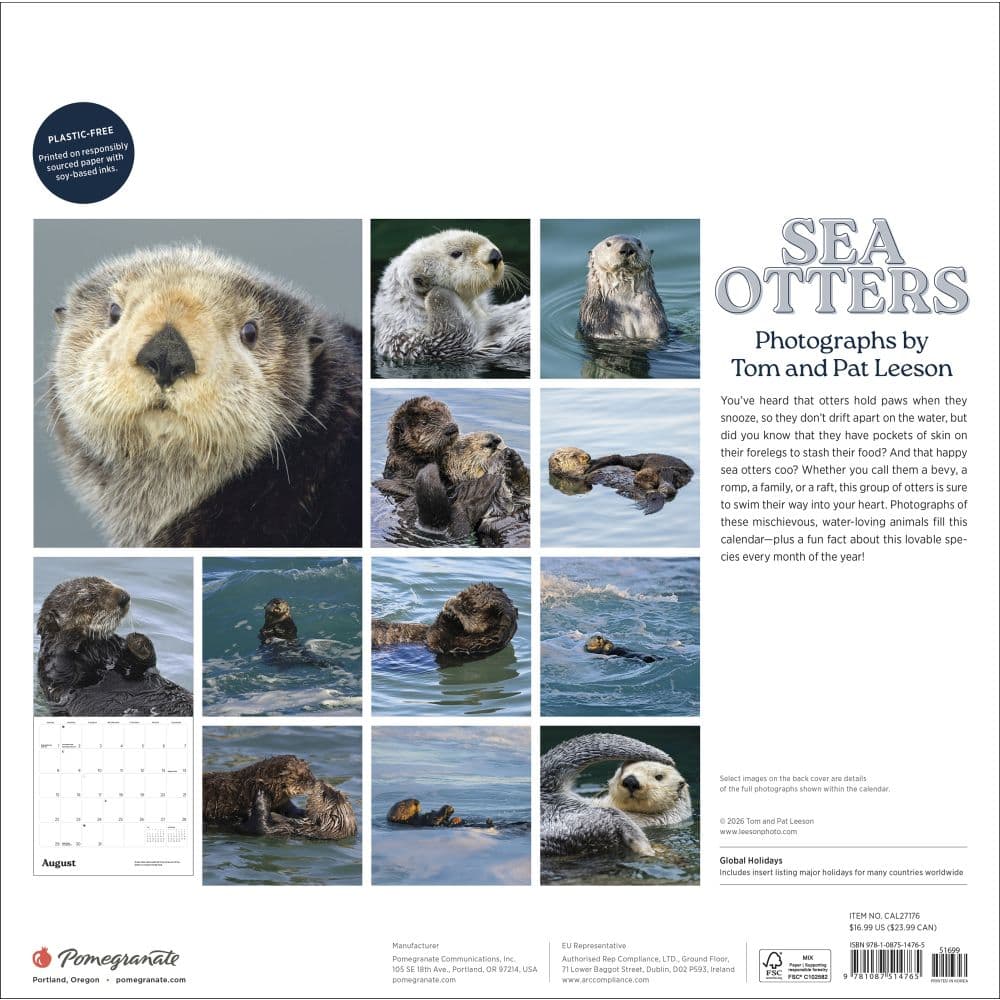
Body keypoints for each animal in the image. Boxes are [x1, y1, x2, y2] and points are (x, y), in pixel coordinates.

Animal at [36, 576, 192, 716]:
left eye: (107, 581)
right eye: (87, 599)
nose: (124, 597)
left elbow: (140, 666)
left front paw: (137, 642)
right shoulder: (58, 677)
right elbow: (64, 672)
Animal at [372, 582, 518, 659]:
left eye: (472, 609)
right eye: (460, 594)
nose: (449, 603)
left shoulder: (463, 648)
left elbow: (436, 638)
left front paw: (449, 616)